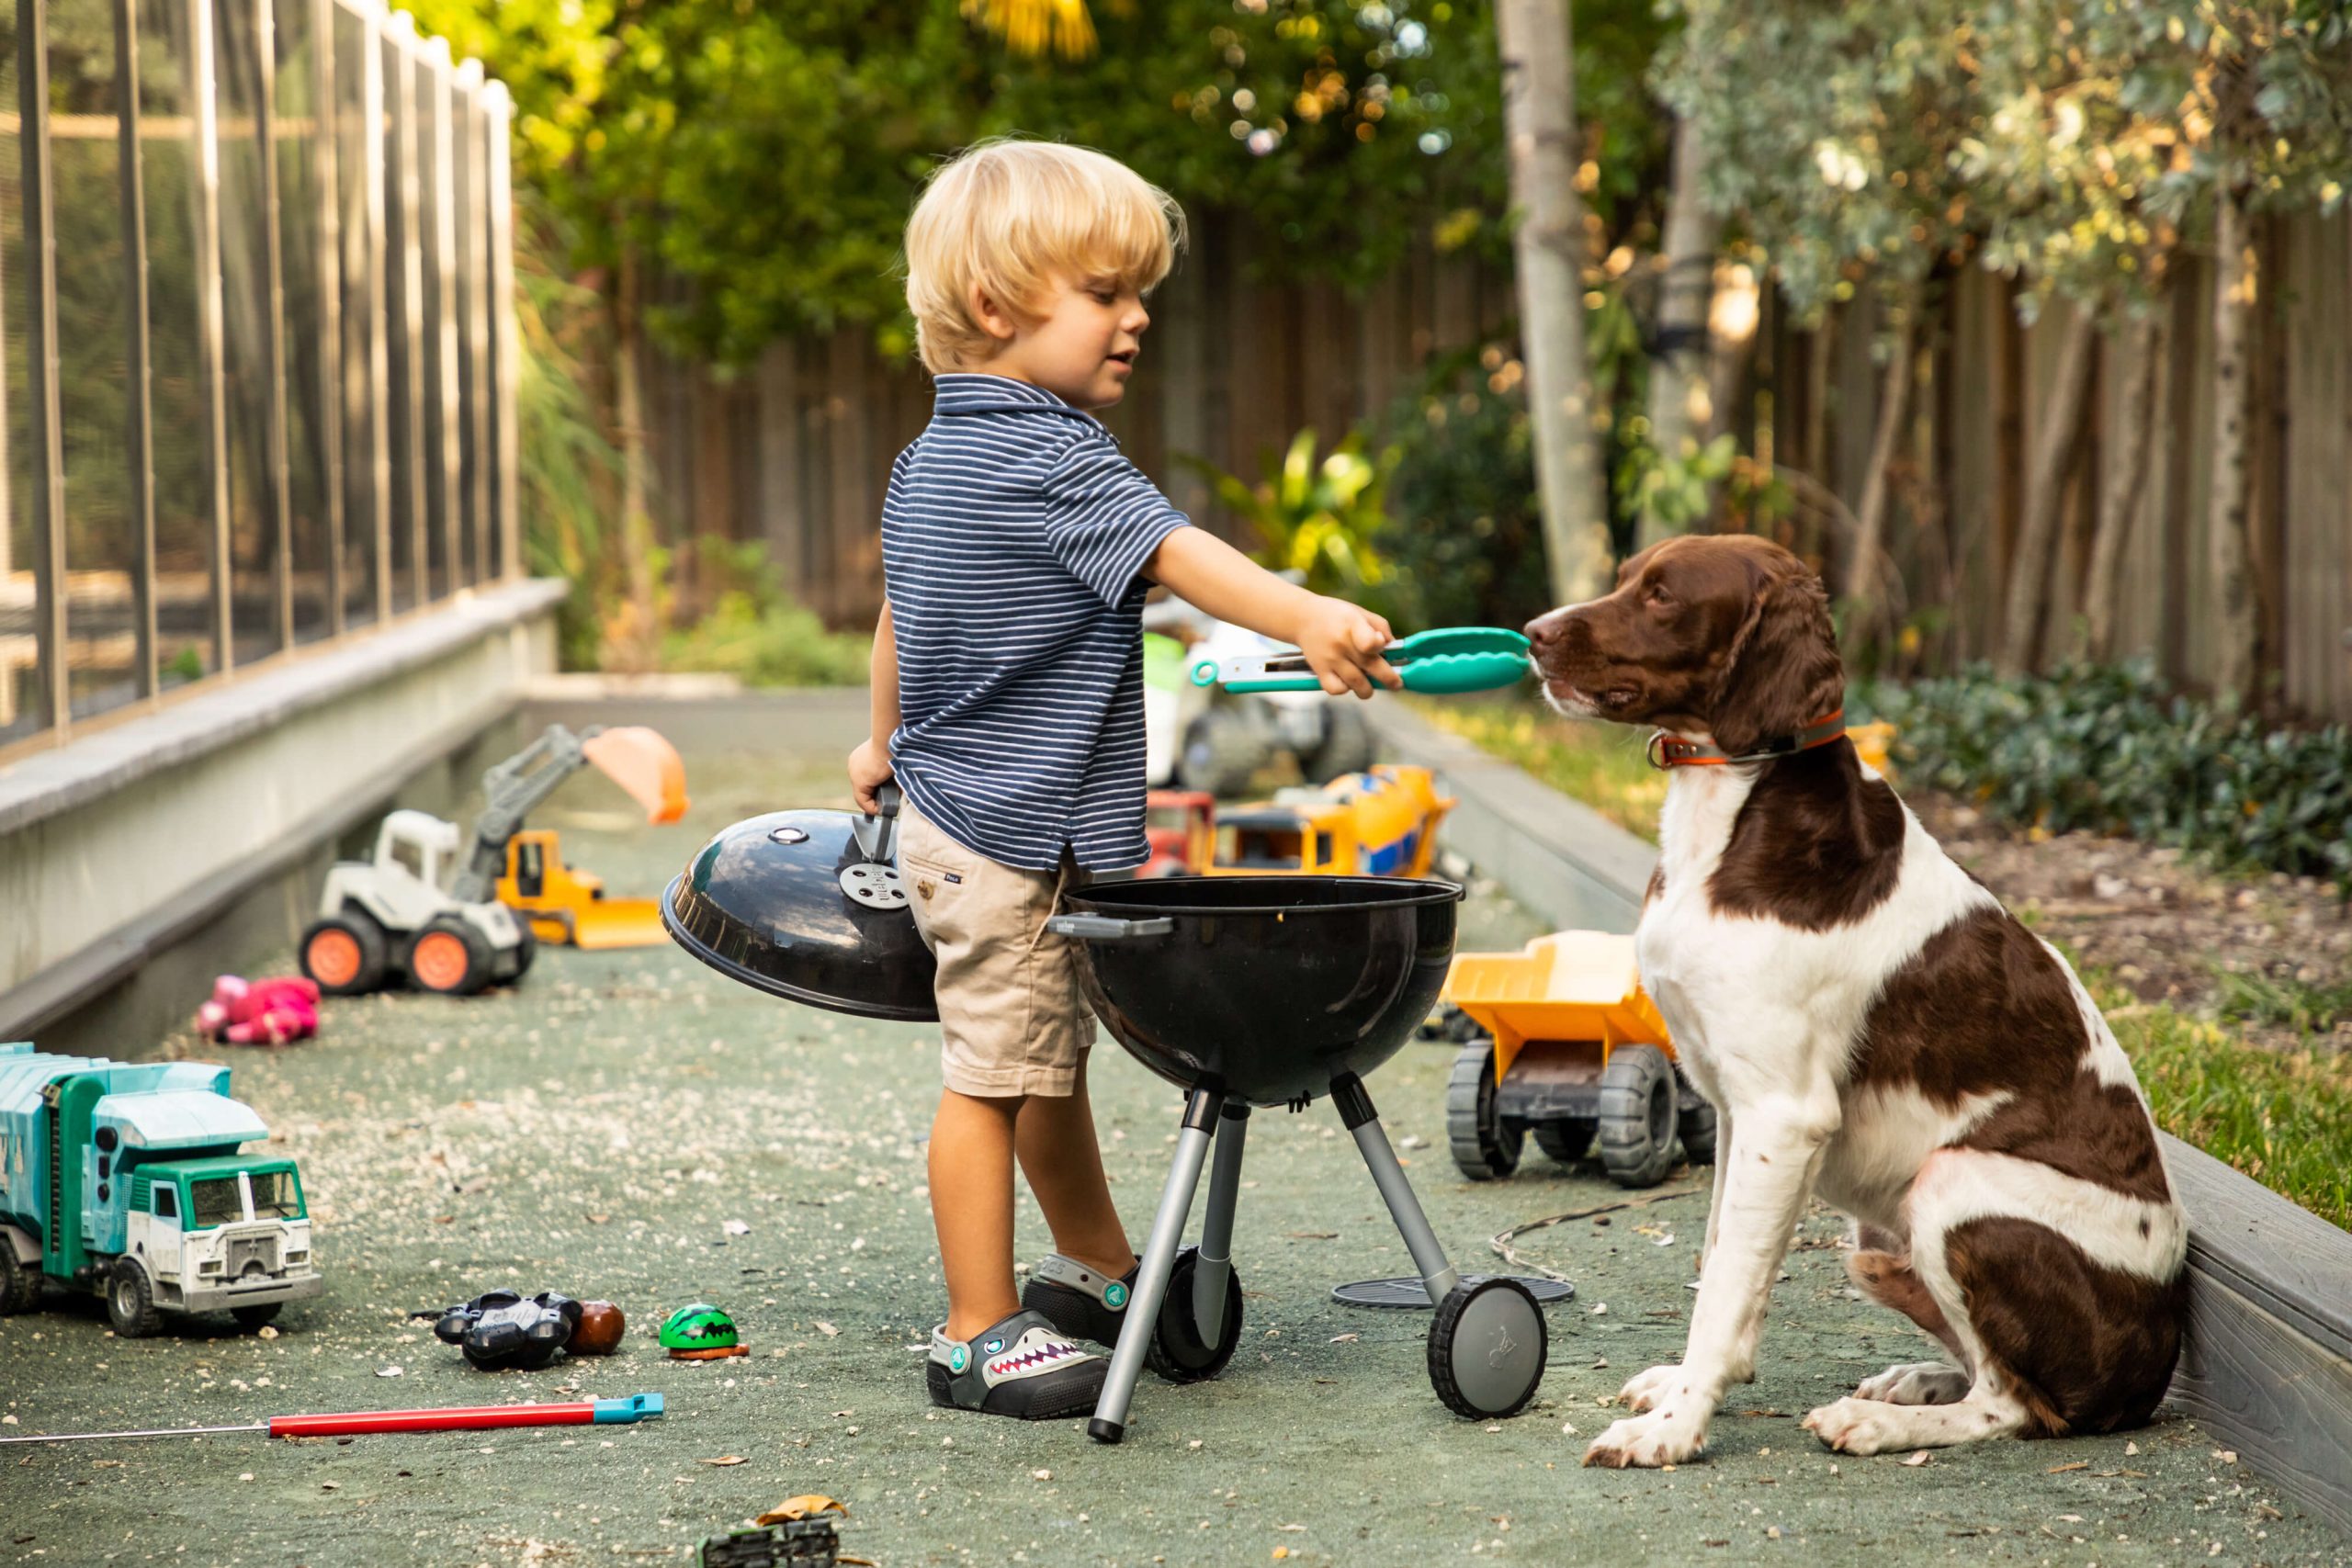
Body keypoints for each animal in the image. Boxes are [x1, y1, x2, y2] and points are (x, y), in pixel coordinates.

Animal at [1523, 536, 2182, 1476]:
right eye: (1623, 577)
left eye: (1662, 596)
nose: (1534, 634)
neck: (1732, 810)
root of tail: (2155, 1367)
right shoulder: (1735, 1110)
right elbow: (1721, 1260)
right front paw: (1683, 1390)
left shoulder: (1784, 1112)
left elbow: (1724, 1288)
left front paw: (1676, 1429)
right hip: (1876, 1246)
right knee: (1985, 1367)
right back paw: (1914, 1381)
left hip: (1951, 1184)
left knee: (2018, 1403)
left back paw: (1879, 1422)